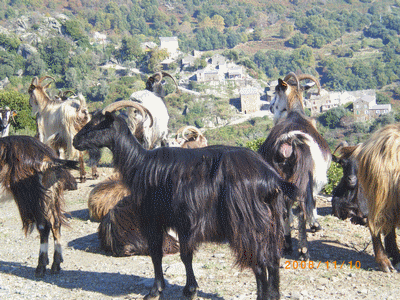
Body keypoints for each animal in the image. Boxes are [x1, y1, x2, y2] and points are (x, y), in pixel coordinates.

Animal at [0, 135, 77, 276]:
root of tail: (48, 159)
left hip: (32, 195)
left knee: (44, 225)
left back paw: (41, 267)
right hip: (50, 193)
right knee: (55, 223)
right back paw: (55, 264)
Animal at [74, 101, 296, 300]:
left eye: (98, 124)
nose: (76, 140)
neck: (141, 164)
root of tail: (270, 179)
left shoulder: (160, 219)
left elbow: (162, 254)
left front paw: (159, 291)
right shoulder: (180, 222)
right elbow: (184, 256)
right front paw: (188, 289)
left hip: (247, 224)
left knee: (259, 262)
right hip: (272, 222)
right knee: (273, 260)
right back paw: (273, 295)